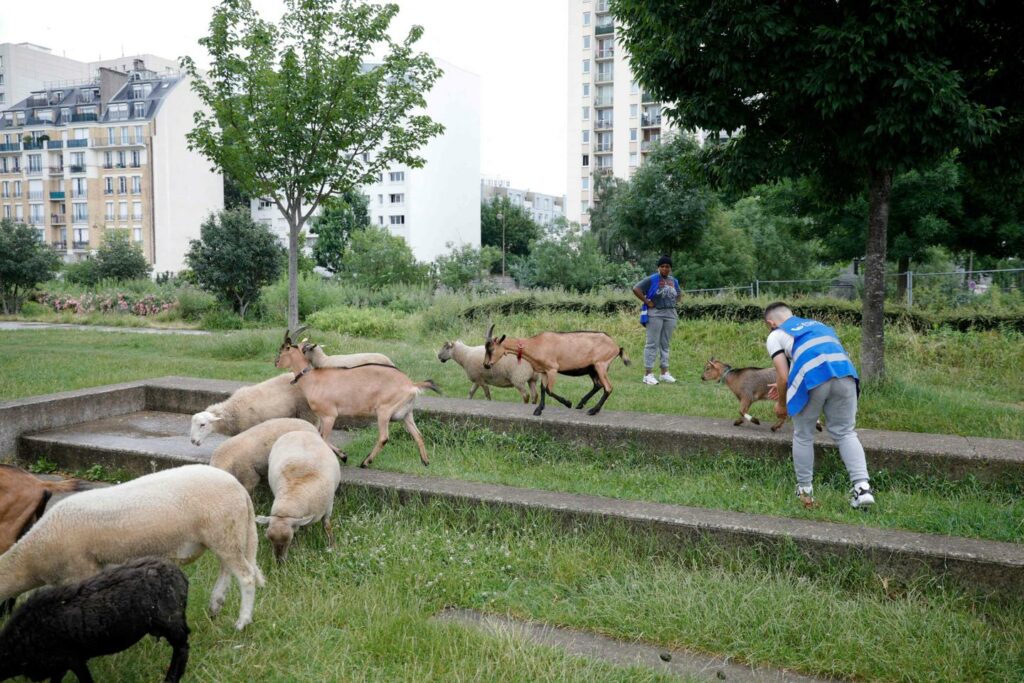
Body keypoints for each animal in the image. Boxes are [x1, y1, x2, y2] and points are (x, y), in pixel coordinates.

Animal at [0, 557, 191, 683]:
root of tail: (179, 574)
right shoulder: (58, 665)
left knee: (182, 648)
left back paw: (171, 678)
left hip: (170, 621)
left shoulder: (71, 657)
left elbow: (85, 680)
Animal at [1, 464, 264, 630]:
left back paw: (242, 622)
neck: (31, 559)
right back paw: (215, 604)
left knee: (246, 576)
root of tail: (240, 489)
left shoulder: (81, 569)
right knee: (226, 568)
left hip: (223, 531)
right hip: (223, 533)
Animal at [253, 430, 342, 565]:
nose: (279, 562)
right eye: (268, 538)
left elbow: (327, 525)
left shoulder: (328, 507)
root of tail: (299, 431)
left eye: (288, 539)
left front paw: (332, 545)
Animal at [276, 329, 440, 471]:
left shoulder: (329, 415)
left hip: (384, 411)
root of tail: (411, 384)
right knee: (418, 435)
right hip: (406, 414)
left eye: (283, 349)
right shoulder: (322, 417)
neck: (312, 379)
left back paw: (365, 462)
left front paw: (343, 456)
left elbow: (324, 438)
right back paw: (425, 462)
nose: (276, 362)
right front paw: (342, 455)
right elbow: (318, 435)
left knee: (384, 437)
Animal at [481, 325, 630, 417]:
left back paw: (593, 410)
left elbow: (549, 390)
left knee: (608, 387)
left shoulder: (552, 369)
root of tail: (616, 347)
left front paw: (568, 403)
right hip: (592, 368)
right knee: (598, 385)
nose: (486, 365)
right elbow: (542, 388)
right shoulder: (544, 371)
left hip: (601, 365)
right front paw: (538, 410)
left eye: (491, 349)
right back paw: (581, 404)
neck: (535, 344)